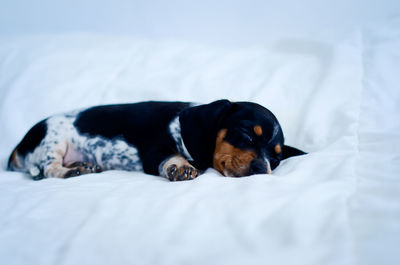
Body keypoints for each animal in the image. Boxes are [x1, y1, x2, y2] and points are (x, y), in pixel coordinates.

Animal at [7, 99, 306, 179]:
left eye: (276, 159)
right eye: (245, 134)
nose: (261, 169)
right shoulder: (153, 151)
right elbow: (169, 157)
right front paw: (180, 166)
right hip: (53, 139)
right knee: (48, 169)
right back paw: (72, 170)